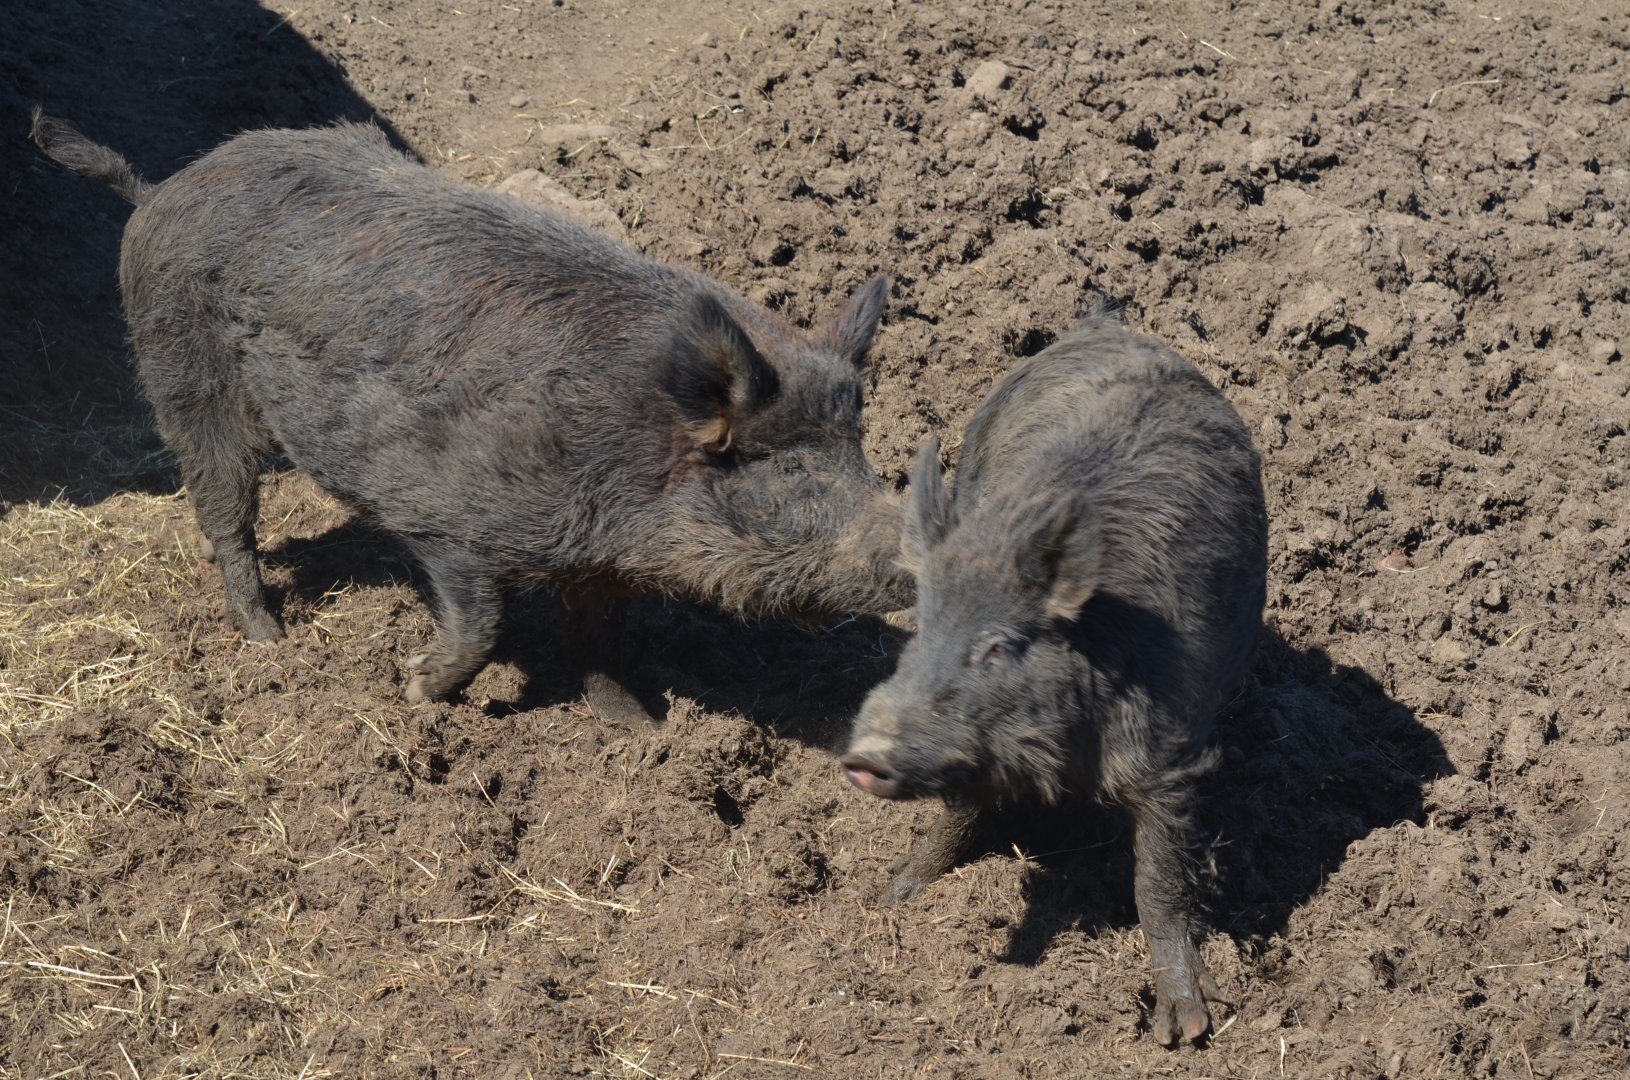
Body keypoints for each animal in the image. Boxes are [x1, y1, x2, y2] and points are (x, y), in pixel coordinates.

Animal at [30, 109, 911, 717]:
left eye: (860, 447)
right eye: (787, 466)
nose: (915, 554)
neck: (623, 445)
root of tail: (159, 190)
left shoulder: (598, 562)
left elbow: (603, 641)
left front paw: (639, 728)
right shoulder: (442, 516)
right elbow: (482, 622)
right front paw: (417, 689)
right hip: (185, 380)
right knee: (224, 514)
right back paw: (270, 641)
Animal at [841, 310, 1267, 1045]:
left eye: (996, 648)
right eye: (921, 627)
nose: (865, 756)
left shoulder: (1170, 758)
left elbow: (1158, 882)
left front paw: (1185, 1029)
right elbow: (957, 815)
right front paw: (892, 895)